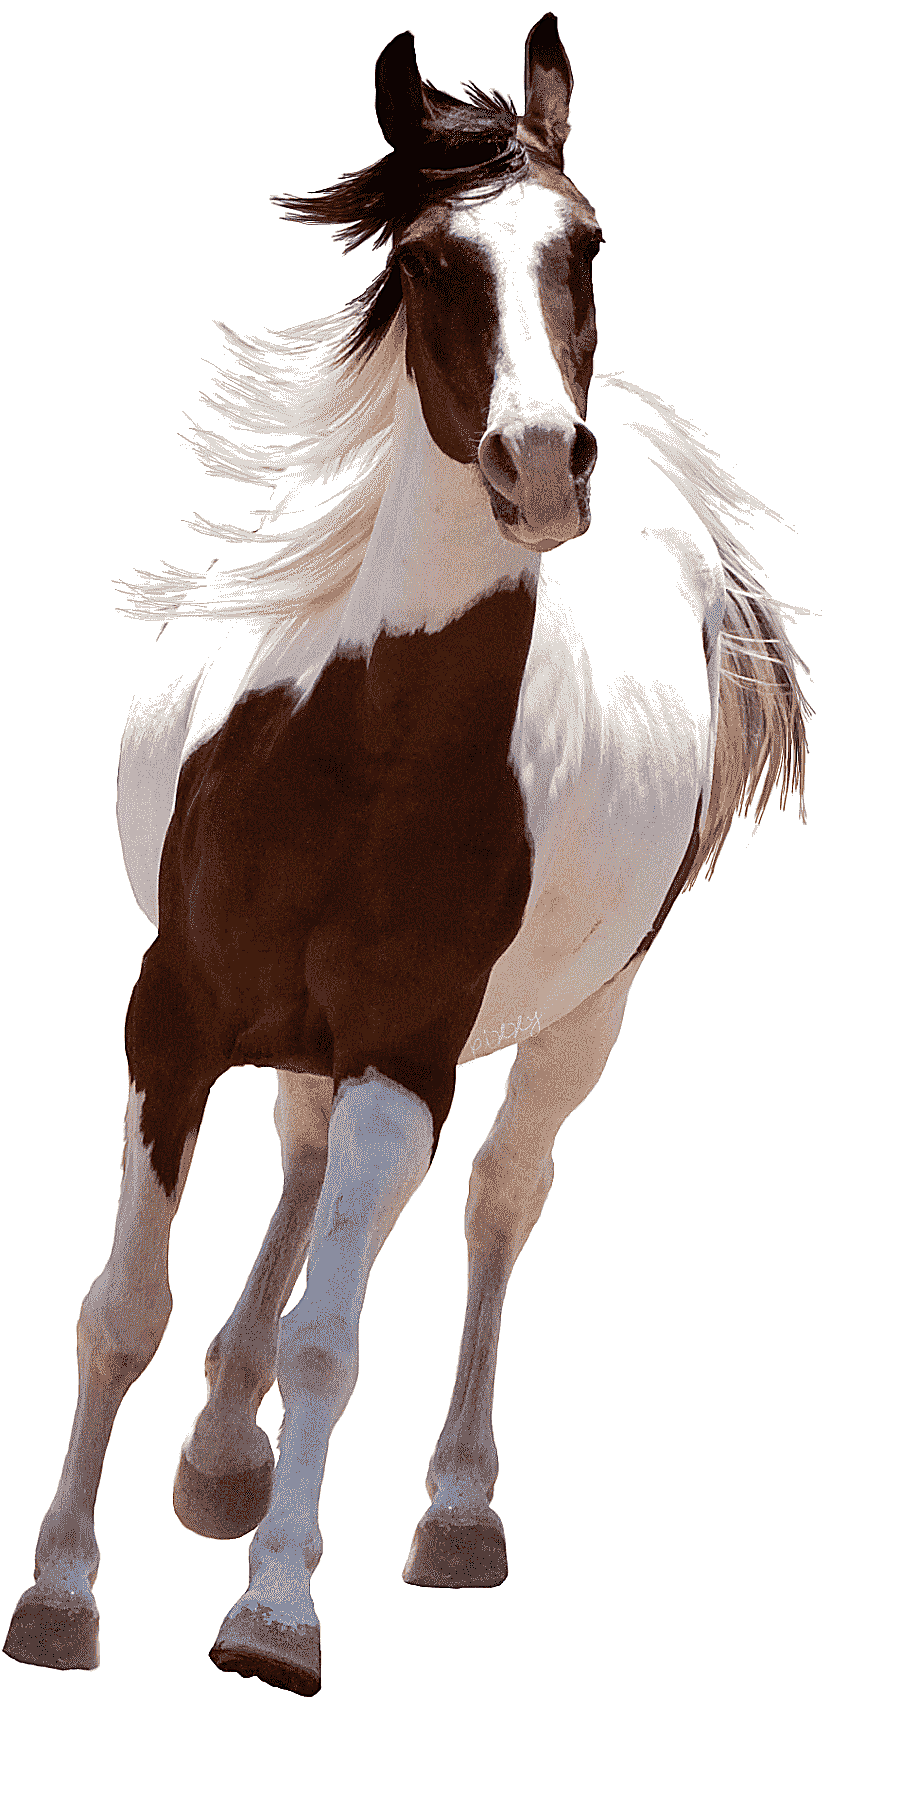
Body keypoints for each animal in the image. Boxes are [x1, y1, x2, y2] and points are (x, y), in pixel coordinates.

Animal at [4, 16, 807, 1698]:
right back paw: (221, 1448)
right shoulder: (172, 1022)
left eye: (585, 242)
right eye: (436, 260)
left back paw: (451, 1506)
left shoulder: (406, 1055)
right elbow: (121, 1308)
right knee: (302, 1168)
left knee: (501, 1196)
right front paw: (57, 1592)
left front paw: (274, 1610)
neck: (364, 752)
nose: (539, 464)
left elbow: (334, 1333)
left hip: (576, 1022)